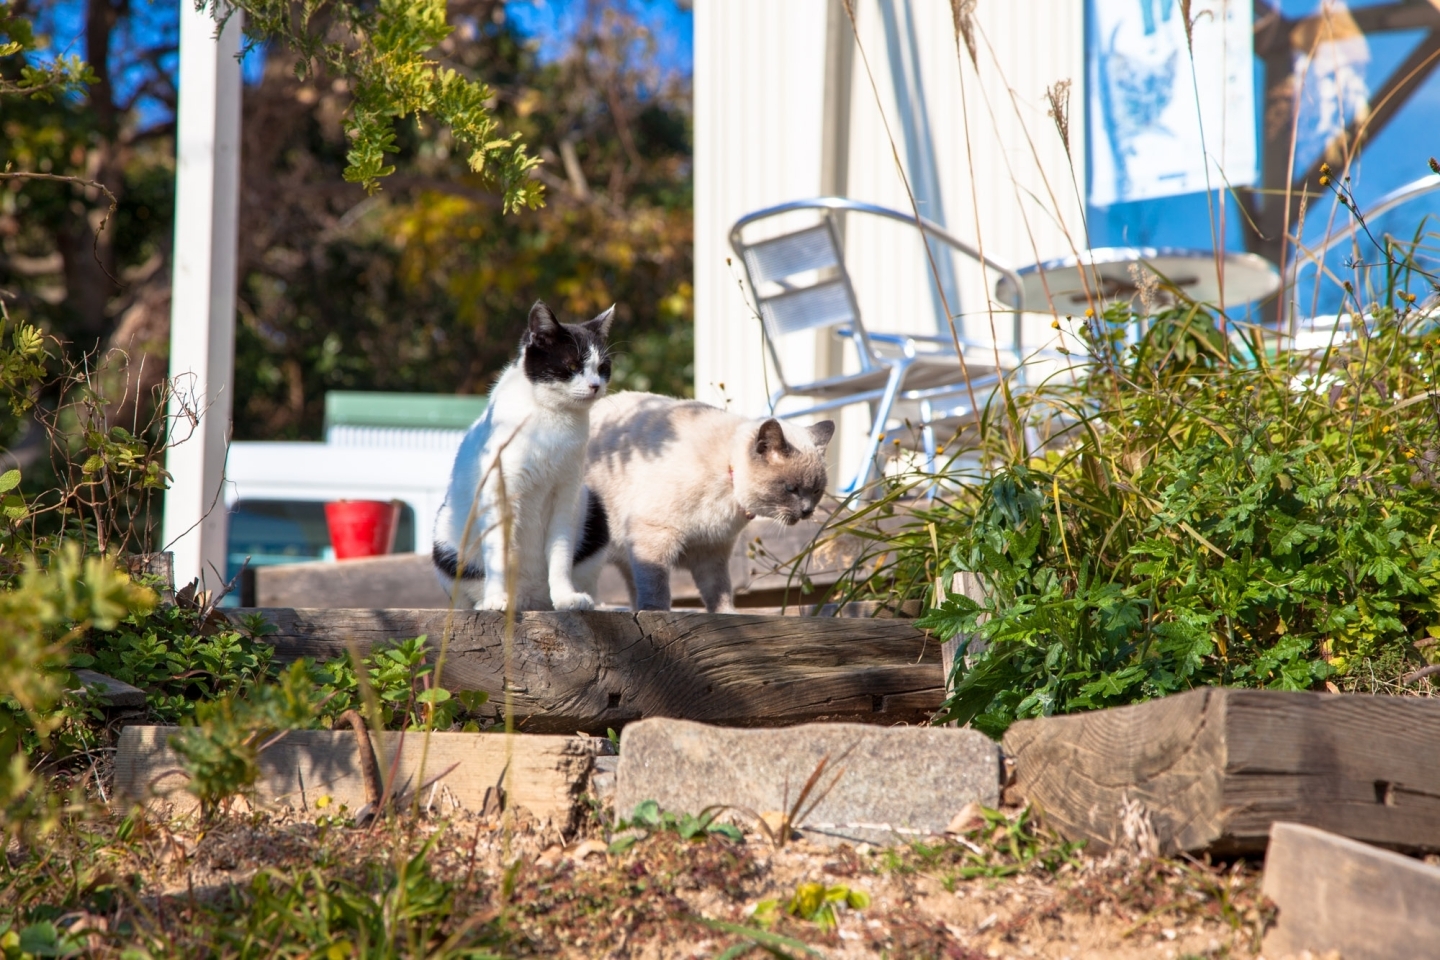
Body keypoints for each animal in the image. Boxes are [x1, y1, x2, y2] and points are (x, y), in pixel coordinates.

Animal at [437, 303, 619, 613]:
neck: (553, 417)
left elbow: (560, 553)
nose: (596, 385)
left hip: (595, 511)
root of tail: (531, 599)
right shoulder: (499, 493)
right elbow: (499, 553)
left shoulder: (566, 495)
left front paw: (566, 597)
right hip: (444, 537)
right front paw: (496, 599)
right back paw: (486, 601)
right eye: (572, 366)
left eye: (602, 368)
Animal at [564, 391, 829, 613]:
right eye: (791, 489)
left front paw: (727, 616)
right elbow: (657, 585)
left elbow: (719, 592)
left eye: (817, 490)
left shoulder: (711, 550)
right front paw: (657, 613)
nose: (807, 510)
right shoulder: (654, 536)